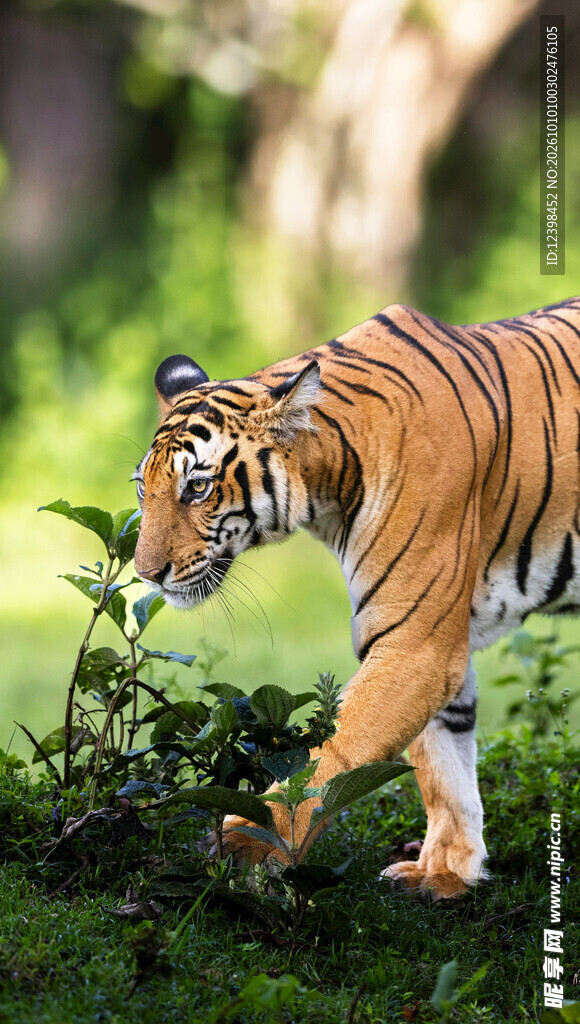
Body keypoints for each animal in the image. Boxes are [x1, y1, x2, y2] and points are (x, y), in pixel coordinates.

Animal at [134, 296, 580, 900]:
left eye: (197, 488)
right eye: (143, 487)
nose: (145, 573)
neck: (329, 484)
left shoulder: (416, 643)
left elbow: (332, 754)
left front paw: (248, 844)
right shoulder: (430, 637)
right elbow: (444, 763)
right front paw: (446, 872)